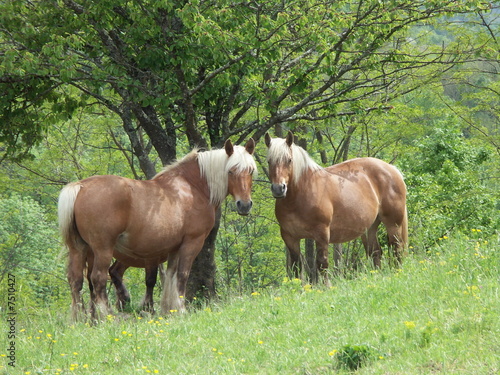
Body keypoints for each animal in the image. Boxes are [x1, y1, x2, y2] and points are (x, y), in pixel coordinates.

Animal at [57, 140, 258, 322]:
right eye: (230, 171)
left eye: (250, 170)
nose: (244, 205)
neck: (193, 187)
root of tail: (80, 187)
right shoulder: (192, 242)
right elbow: (182, 275)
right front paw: (181, 310)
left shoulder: (174, 248)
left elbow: (170, 276)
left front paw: (169, 309)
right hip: (102, 249)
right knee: (98, 278)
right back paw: (106, 317)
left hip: (80, 249)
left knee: (76, 280)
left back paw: (81, 319)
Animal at [264, 132, 408, 282]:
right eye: (269, 161)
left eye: (289, 160)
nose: (278, 189)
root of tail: (393, 170)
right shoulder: (290, 237)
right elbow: (296, 266)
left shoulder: (322, 234)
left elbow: (322, 263)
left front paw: (325, 286)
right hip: (370, 227)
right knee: (375, 252)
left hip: (393, 224)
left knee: (397, 248)